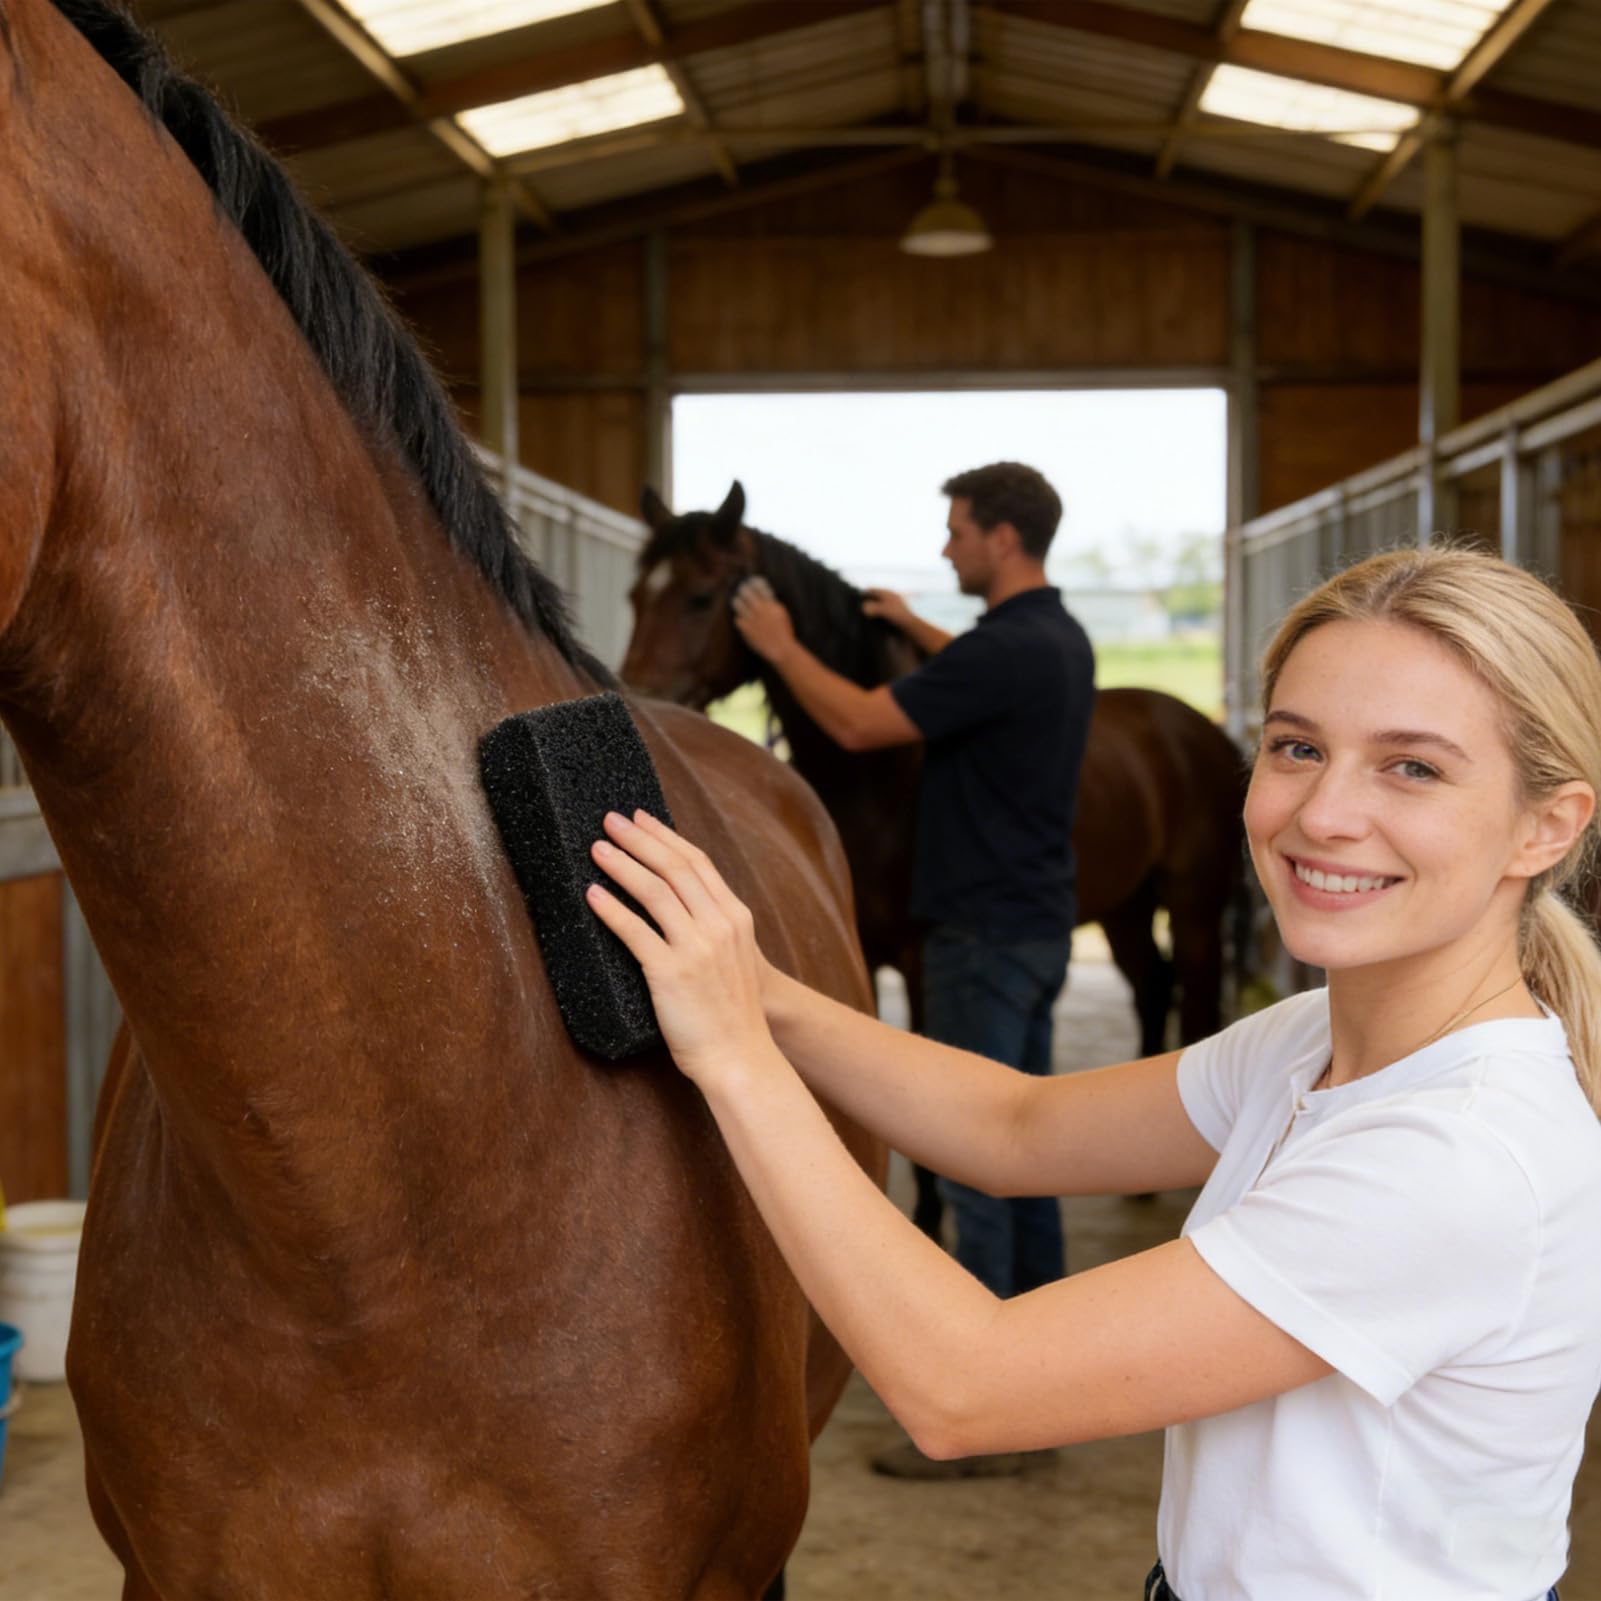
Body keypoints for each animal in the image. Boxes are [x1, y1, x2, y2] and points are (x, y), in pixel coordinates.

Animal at [622, 483, 1250, 1067]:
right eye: (635, 595)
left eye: (701, 597)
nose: (639, 699)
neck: (880, 782)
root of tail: (1204, 730)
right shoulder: (863, 951)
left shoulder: (923, 963)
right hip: (1127, 908)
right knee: (1152, 986)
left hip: (1194, 907)